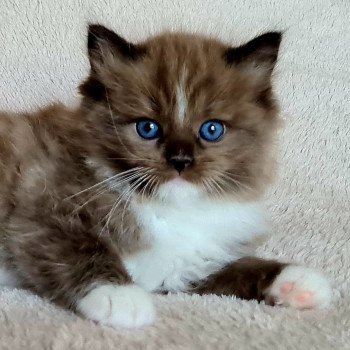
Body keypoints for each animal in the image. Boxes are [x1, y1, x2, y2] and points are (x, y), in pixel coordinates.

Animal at [0, 24, 332, 328]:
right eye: (148, 128)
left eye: (212, 130)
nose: (180, 161)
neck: (167, 211)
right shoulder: (42, 213)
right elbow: (84, 250)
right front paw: (120, 297)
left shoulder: (186, 264)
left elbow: (239, 267)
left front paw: (297, 281)